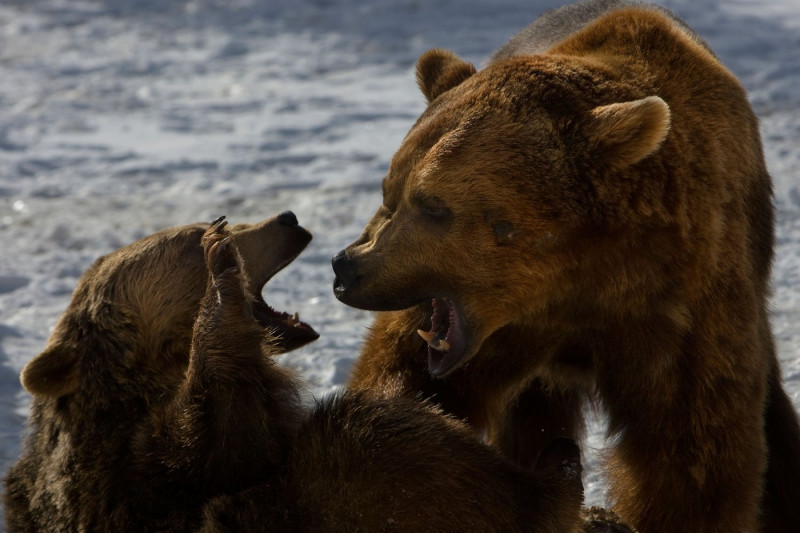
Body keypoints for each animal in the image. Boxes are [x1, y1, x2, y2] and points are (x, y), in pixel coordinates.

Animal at [3, 214, 592, 528]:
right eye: (192, 232)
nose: (286, 219)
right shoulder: (139, 483)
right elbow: (226, 433)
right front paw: (221, 272)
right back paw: (556, 467)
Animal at [330, 2, 800, 528]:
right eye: (389, 192)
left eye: (433, 206)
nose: (346, 267)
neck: (574, 276)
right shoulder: (496, 329)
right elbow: (404, 388)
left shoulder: (679, 300)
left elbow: (690, 450)